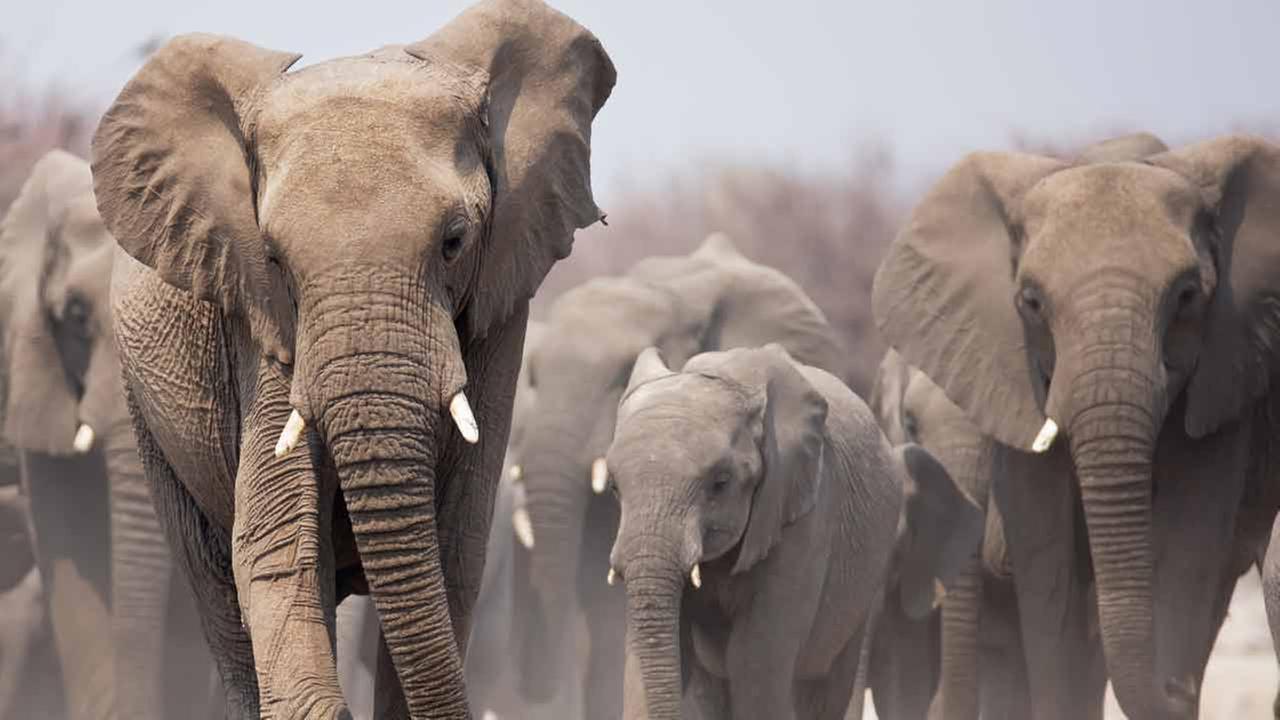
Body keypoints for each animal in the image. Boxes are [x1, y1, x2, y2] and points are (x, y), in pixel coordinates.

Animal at [90, 0, 616, 716]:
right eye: (274, 259)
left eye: (455, 241)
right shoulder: (258, 318)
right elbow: (278, 544)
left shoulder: (501, 306)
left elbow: (452, 548)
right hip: (147, 413)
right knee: (218, 591)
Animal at [873, 133, 1280, 718]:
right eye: (1032, 302)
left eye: (1186, 296)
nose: (1175, 690)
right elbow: (1048, 567)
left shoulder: (1224, 375)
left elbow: (1189, 545)